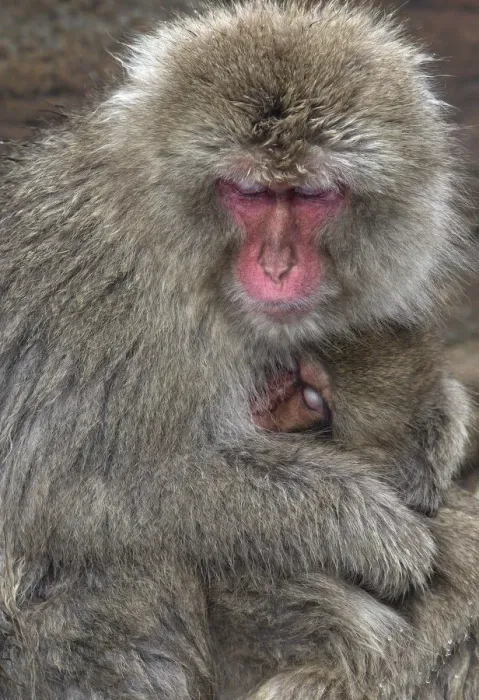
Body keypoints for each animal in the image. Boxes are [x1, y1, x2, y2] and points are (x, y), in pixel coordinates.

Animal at [0, 0, 477, 698]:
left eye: (309, 195)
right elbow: (74, 490)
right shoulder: (112, 313)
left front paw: (440, 427)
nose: (278, 266)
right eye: (250, 193)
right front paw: (364, 526)